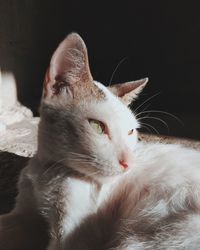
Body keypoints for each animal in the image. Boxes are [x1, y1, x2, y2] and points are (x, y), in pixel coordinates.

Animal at [0, 33, 200, 250]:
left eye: (131, 131)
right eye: (97, 126)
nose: (129, 163)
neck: (48, 170)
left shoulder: (70, 237)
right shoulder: (26, 216)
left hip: (138, 241)